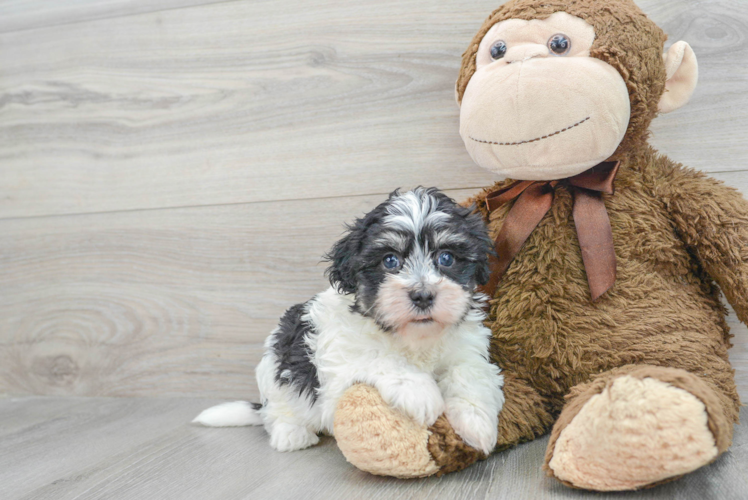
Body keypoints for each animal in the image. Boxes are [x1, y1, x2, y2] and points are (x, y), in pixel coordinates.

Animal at [196, 187, 506, 454]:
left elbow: (469, 372)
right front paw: (420, 392)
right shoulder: (340, 361)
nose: (422, 295)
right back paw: (291, 434)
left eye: (446, 258)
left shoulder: (465, 350)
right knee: (279, 409)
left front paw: (476, 422)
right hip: (276, 371)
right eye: (390, 261)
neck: (412, 338)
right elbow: (380, 357)